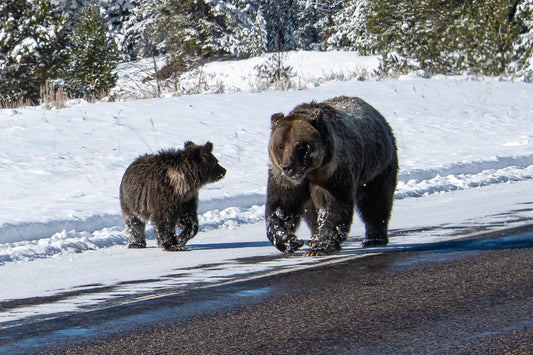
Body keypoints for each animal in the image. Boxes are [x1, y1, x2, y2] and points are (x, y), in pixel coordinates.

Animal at [266, 96, 394, 256]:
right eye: (280, 145)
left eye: (300, 145)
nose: (288, 167)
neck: (309, 171)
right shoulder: (284, 179)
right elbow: (281, 207)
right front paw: (289, 240)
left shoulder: (332, 173)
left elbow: (333, 206)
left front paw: (321, 247)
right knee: (310, 211)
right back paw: (313, 238)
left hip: (377, 168)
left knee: (375, 202)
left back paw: (374, 239)